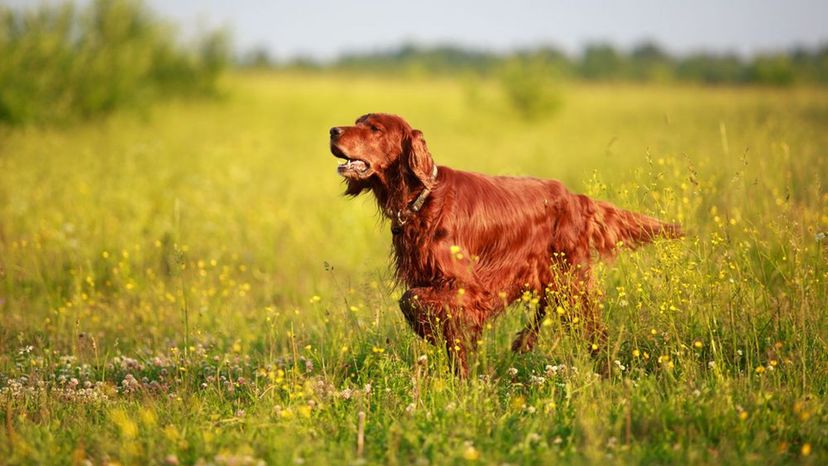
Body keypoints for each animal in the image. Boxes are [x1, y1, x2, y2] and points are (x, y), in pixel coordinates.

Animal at [328, 114, 680, 376]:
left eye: (374, 128)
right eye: (357, 121)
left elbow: (412, 300)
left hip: (572, 281)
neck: (422, 198)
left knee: (593, 329)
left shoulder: (470, 288)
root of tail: (574, 198)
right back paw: (525, 342)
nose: (333, 130)